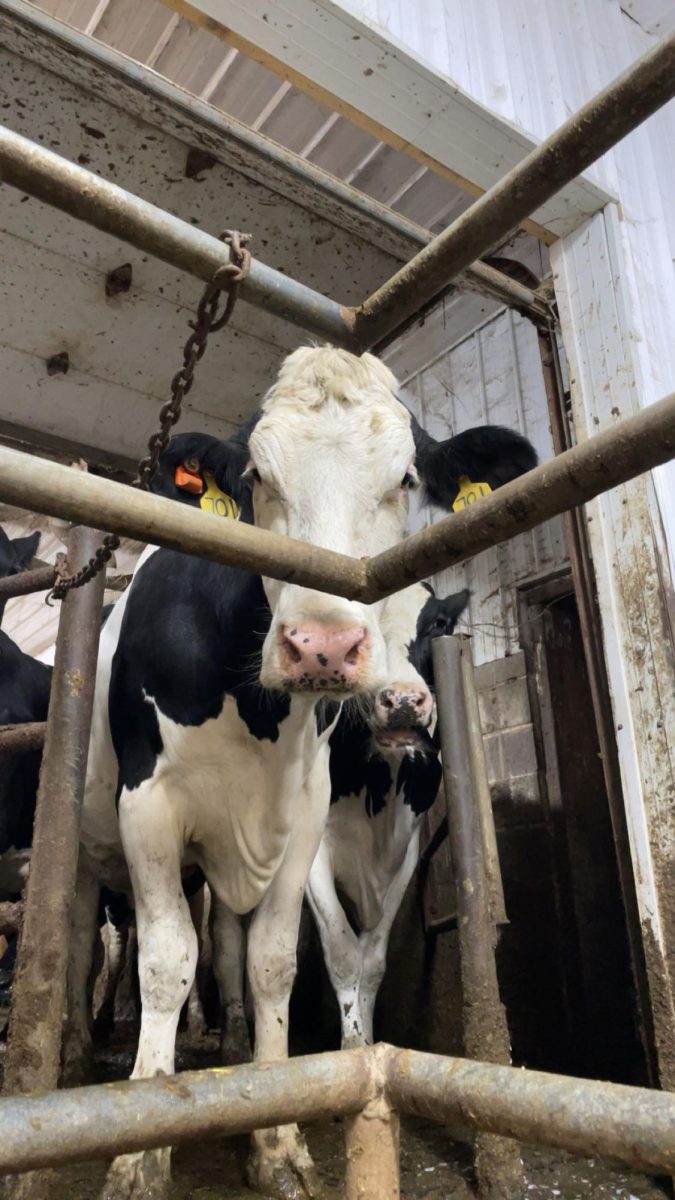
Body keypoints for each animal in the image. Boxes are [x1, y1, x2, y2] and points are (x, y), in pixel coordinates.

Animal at [63, 347, 536, 1200]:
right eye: (256, 475)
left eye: (406, 477)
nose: (322, 645)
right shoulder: (148, 810)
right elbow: (164, 960)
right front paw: (139, 1150)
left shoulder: (304, 822)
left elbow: (273, 963)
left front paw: (276, 1135)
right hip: (94, 844)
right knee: (96, 941)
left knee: (224, 946)